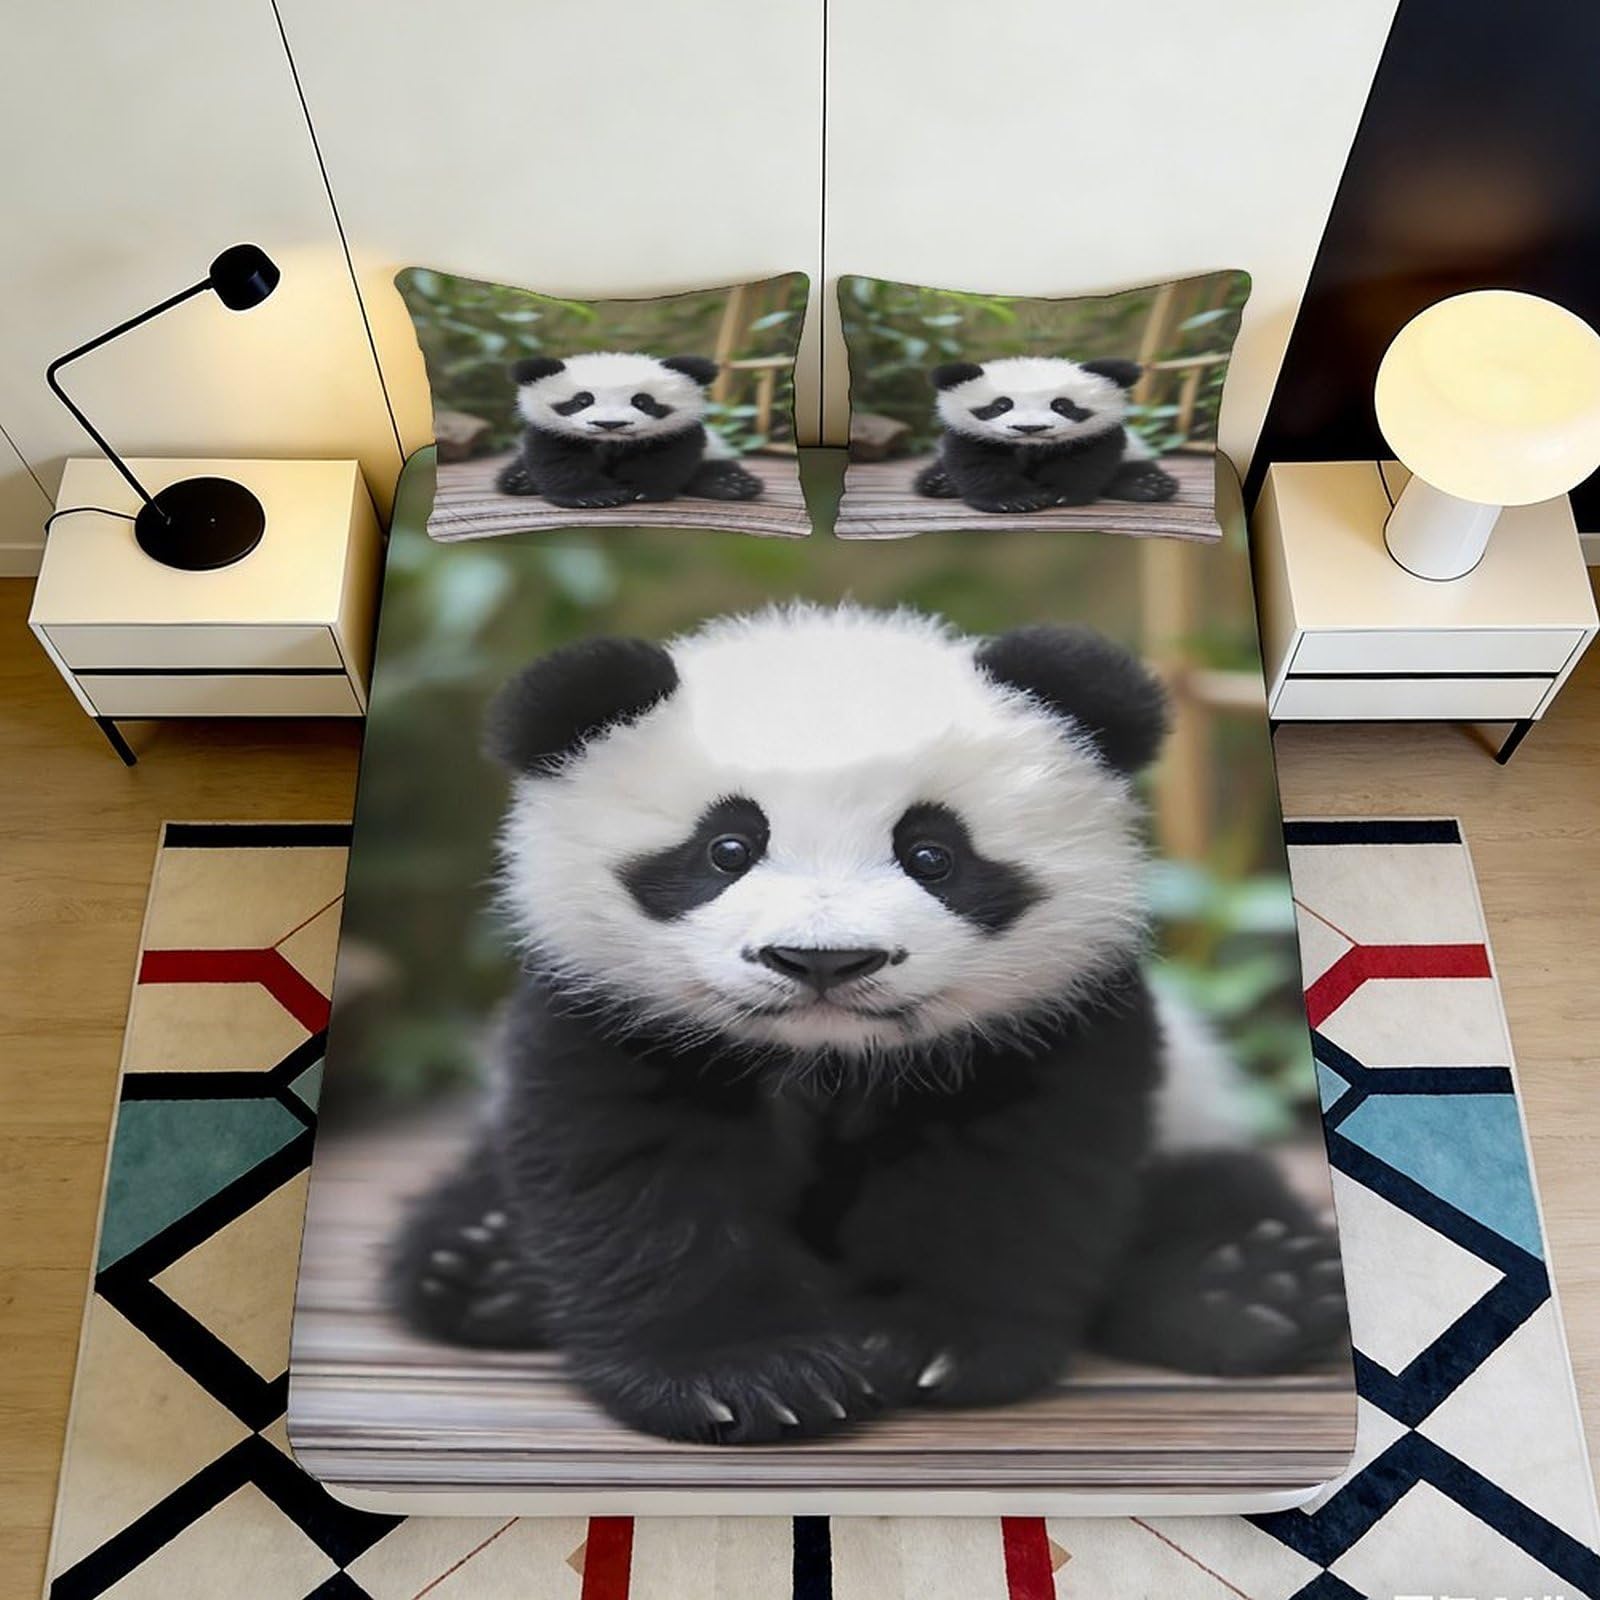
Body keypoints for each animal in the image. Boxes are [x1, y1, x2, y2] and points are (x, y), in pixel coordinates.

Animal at [389, 605, 1346, 1445]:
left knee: (1217, 1191)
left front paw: (932, 1342)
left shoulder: (1053, 1023)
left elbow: (1004, 1175)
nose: (823, 960)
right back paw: (484, 1267)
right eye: (726, 849)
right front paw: (751, 1373)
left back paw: (1252, 1287)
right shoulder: (608, 1016)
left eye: (932, 855)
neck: (830, 1060)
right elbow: (637, 1177)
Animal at [495, 351, 763, 509]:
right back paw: (520, 479)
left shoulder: (678, 433)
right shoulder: (550, 432)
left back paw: (732, 484)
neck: (611, 442)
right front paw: (593, 495)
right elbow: (560, 462)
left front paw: (639, 490)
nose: (610, 424)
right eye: (582, 400)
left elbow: (663, 461)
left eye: (642, 401)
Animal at [913, 356, 1180, 513]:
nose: (1030, 428)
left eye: (1061, 405)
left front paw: (1059, 493)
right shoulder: (968, 436)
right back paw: (940, 482)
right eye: (1002, 405)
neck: (1031, 446)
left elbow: (1083, 464)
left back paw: (1148, 484)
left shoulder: (1099, 436)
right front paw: (1013, 499)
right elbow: (979, 464)